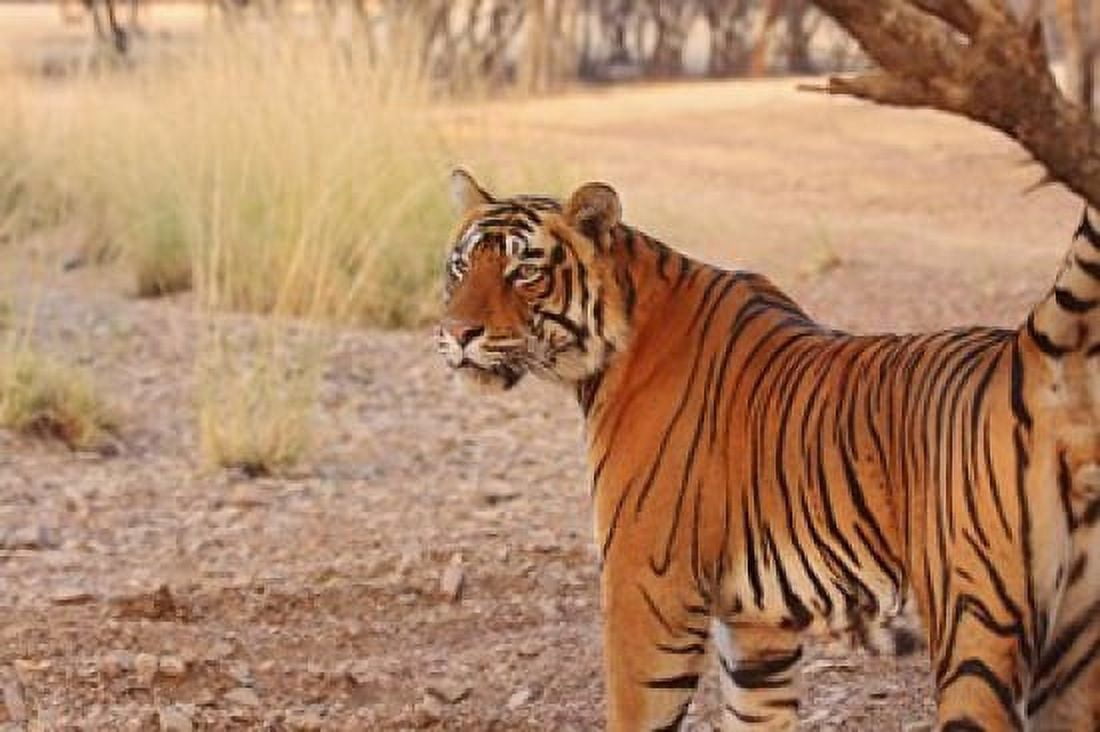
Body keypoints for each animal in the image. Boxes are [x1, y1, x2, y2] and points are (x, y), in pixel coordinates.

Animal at [435, 169, 1100, 731]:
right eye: (460, 267)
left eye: (525, 272)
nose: (456, 333)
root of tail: (1027, 352)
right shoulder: (758, 627)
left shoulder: (647, 588)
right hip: (1073, 654)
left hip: (976, 629)